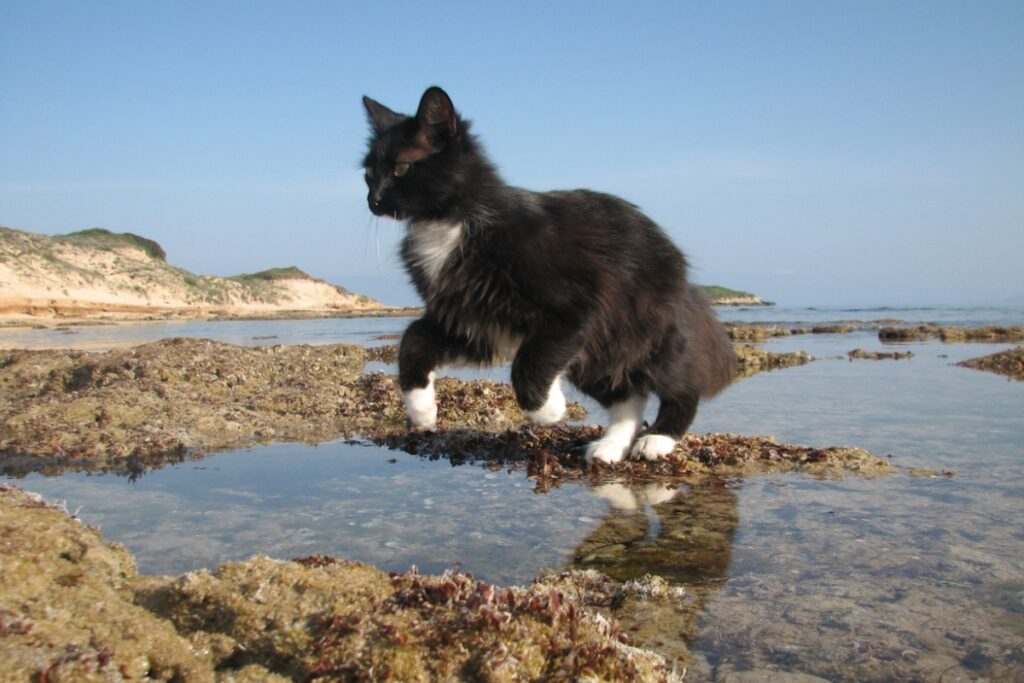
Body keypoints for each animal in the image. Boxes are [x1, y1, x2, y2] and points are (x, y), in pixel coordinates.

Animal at [362, 83, 737, 458]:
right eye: (367, 174)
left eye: (400, 169)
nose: (373, 201)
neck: (449, 222)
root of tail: (684, 277)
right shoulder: (471, 321)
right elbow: (412, 340)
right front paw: (422, 411)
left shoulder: (572, 311)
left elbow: (527, 366)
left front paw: (550, 410)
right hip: (598, 357)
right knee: (629, 398)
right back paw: (610, 448)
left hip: (643, 335)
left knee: (682, 387)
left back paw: (657, 440)